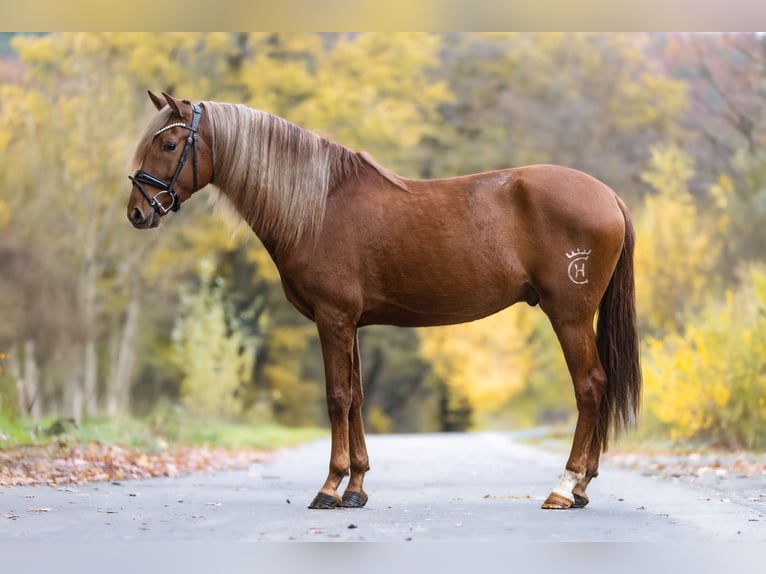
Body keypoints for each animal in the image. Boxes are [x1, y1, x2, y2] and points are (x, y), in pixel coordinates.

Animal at [127, 91, 641, 510]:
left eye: (169, 145)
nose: (136, 212)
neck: (319, 205)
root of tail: (609, 195)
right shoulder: (351, 323)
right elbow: (356, 398)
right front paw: (355, 488)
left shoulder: (332, 318)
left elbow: (336, 397)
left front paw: (328, 488)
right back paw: (581, 487)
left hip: (569, 315)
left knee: (590, 386)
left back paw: (564, 487)